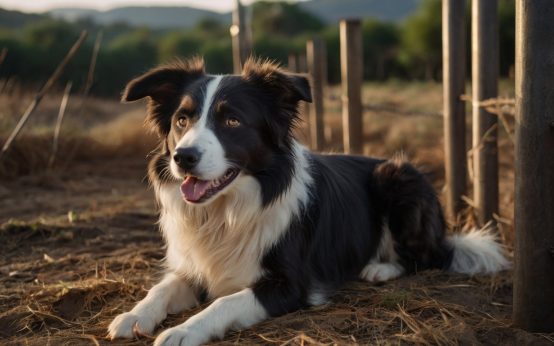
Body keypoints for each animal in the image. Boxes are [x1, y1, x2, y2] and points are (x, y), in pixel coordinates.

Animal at [106, 58, 504, 344]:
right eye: (182, 120)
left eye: (232, 121)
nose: (183, 157)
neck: (227, 211)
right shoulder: (195, 266)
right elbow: (163, 286)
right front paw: (134, 315)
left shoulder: (291, 285)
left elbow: (225, 301)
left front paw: (184, 330)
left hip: (399, 179)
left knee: (427, 258)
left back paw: (380, 268)